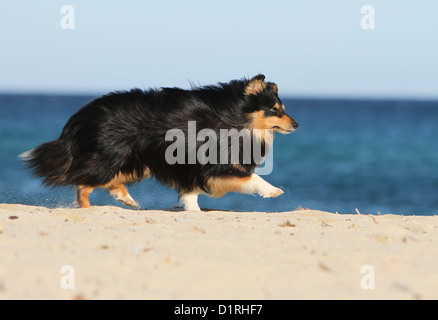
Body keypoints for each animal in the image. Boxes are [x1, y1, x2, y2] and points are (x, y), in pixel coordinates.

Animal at [22, 74, 300, 210]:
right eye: (275, 110)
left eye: (283, 108)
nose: (297, 125)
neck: (235, 117)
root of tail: (86, 113)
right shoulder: (214, 165)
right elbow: (249, 177)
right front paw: (272, 190)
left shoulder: (192, 168)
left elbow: (191, 193)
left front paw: (191, 210)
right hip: (112, 158)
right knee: (82, 184)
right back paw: (87, 208)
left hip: (138, 162)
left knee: (108, 182)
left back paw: (127, 200)